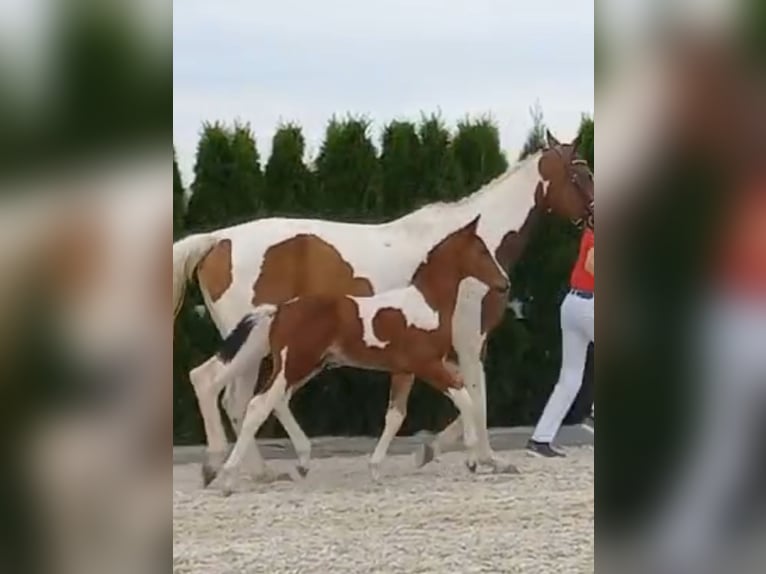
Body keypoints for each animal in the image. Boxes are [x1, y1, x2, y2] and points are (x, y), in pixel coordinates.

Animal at [198, 216, 510, 496]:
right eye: (482, 251)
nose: (504, 283)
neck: (426, 304)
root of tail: (278, 311)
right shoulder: (428, 366)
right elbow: (466, 399)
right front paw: (472, 460)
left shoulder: (404, 370)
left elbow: (395, 416)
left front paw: (376, 468)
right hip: (294, 365)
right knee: (256, 405)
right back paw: (228, 477)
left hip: (305, 366)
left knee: (273, 401)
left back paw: (296, 463)